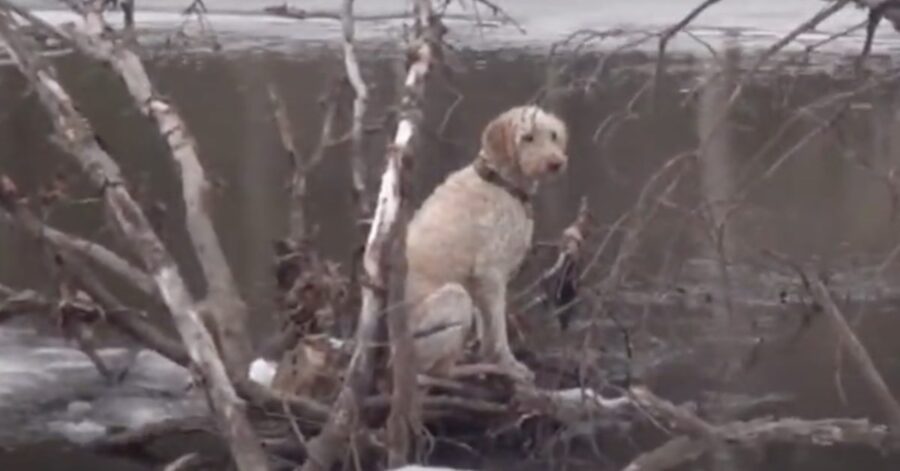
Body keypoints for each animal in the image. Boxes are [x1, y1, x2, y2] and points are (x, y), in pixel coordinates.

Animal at [406, 105, 568, 382]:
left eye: (553, 135)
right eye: (527, 137)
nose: (556, 163)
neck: (501, 183)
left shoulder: (480, 283)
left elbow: (486, 328)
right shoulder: (491, 274)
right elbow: (498, 330)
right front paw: (510, 365)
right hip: (455, 298)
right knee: (434, 372)